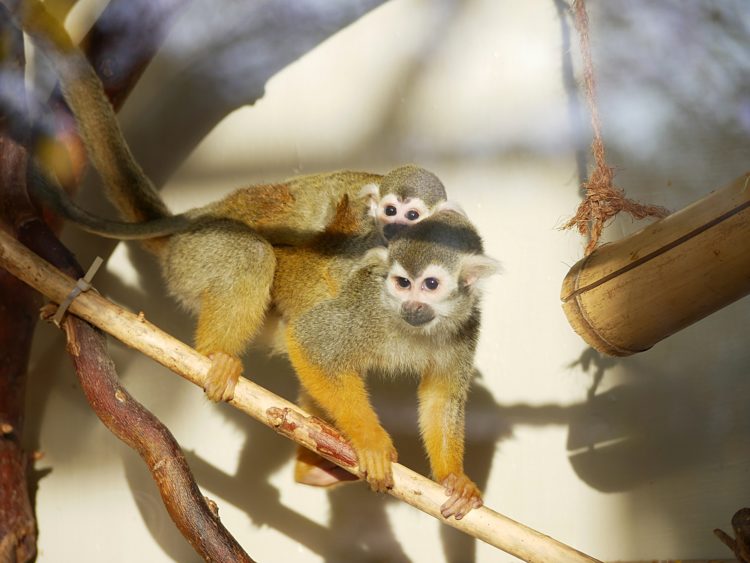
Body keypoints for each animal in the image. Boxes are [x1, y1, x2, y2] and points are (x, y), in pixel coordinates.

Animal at [10, 1, 446, 406]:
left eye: (415, 215)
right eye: (393, 212)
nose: (397, 228)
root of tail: (187, 224)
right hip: (194, 257)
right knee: (254, 247)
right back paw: (215, 354)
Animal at [274, 206, 502, 520]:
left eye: (431, 284)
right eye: (403, 283)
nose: (411, 306)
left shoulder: (466, 326)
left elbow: (440, 398)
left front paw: (454, 478)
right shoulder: (367, 306)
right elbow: (309, 342)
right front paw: (371, 442)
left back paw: (311, 471)